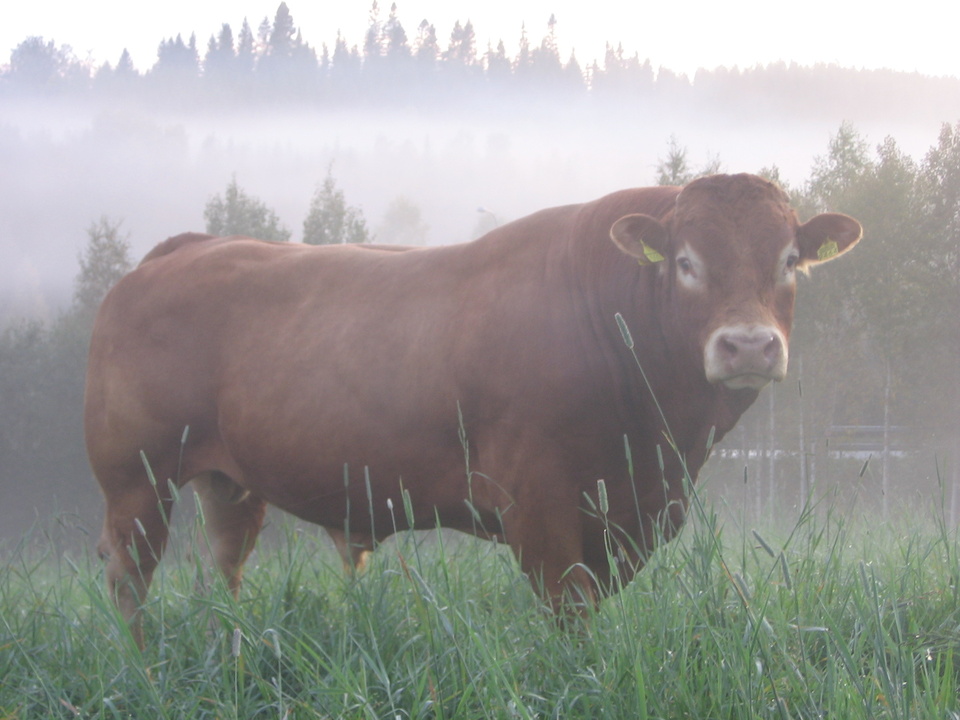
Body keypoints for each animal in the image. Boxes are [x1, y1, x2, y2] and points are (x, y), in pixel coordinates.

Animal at [84, 174, 861, 645]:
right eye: (686, 262)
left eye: (790, 260)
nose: (749, 344)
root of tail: (184, 249)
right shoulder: (539, 507)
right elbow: (571, 615)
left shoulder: (632, 516)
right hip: (135, 477)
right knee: (128, 577)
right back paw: (140, 661)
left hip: (229, 480)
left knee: (225, 562)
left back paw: (236, 644)